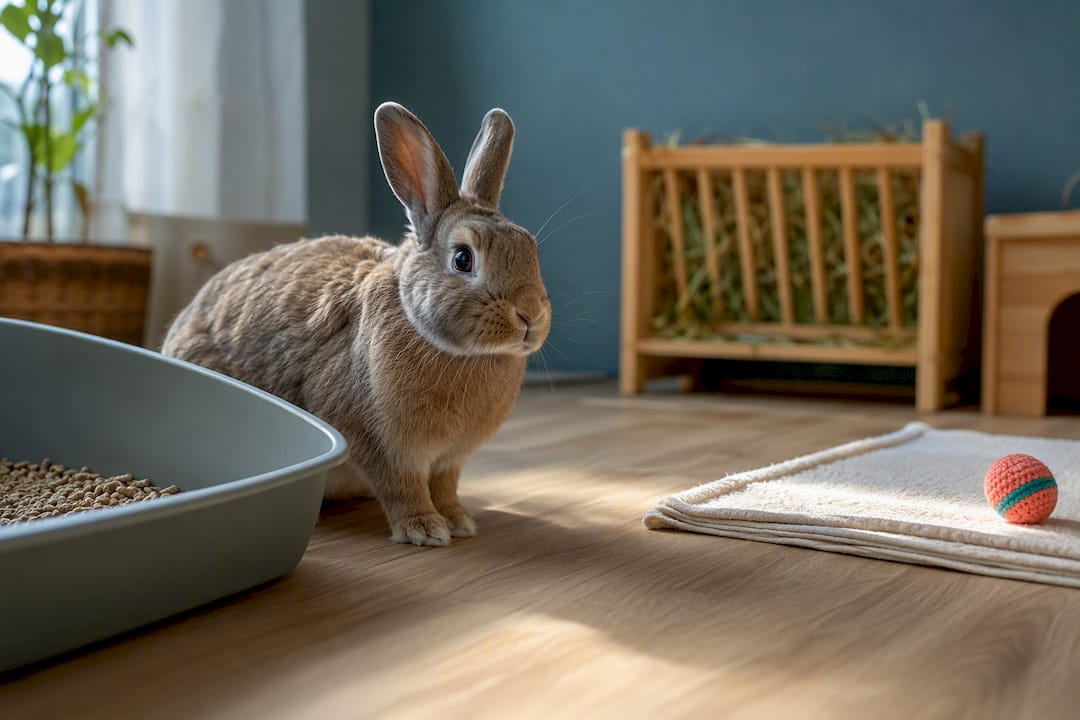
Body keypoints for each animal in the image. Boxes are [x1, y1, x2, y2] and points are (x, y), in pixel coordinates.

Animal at [161, 102, 550, 546]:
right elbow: (402, 487)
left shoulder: (449, 460)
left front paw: (459, 522)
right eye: (463, 258)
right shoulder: (377, 443)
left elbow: (445, 487)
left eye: (530, 249)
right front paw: (425, 529)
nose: (530, 316)